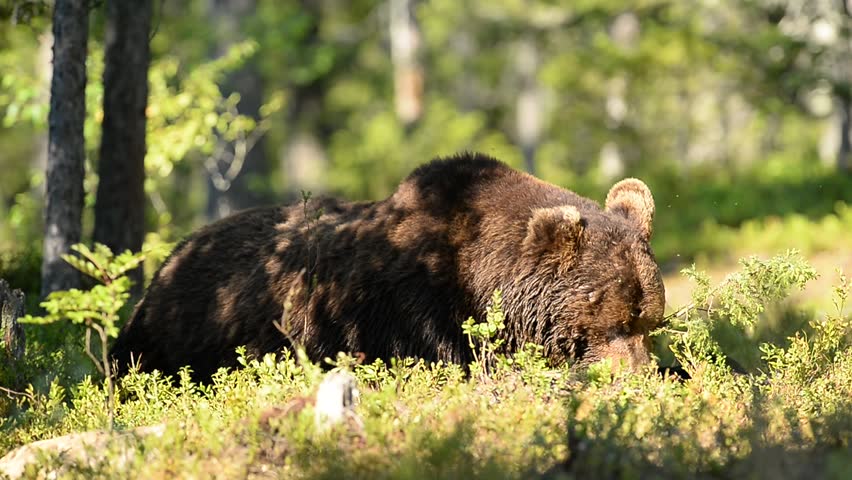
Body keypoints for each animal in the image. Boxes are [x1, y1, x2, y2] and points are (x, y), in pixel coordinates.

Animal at [110, 152, 664, 380]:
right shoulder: (413, 312)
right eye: (612, 323)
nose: (639, 376)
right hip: (177, 341)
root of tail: (169, 260)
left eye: (649, 321)